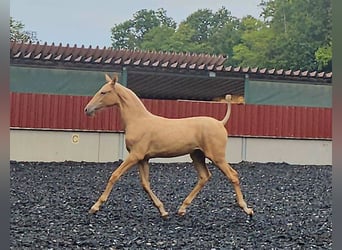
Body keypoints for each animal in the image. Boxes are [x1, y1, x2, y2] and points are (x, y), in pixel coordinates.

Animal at [84, 73, 252, 218]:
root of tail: (220, 123)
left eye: (103, 92)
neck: (138, 120)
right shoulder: (143, 159)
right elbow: (145, 184)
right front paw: (163, 211)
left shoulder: (135, 156)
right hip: (197, 155)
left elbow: (114, 175)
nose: (87, 109)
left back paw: (246, 209)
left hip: (217, 157)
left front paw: (95, 207)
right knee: (205, 176)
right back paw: (182, 208)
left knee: (233, 175)